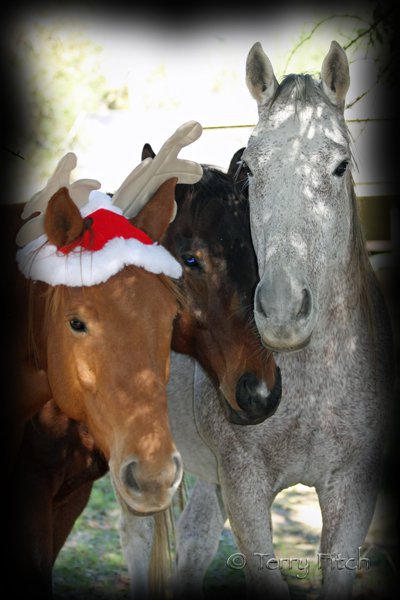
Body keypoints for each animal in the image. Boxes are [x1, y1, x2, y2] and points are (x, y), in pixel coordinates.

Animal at [156, 40, 394, 600]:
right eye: (251, 170)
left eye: (340, 166)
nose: (282, 313)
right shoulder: (244, 487)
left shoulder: (353, 487)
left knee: (196, 539)